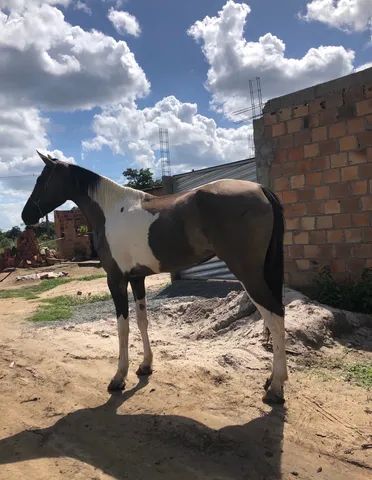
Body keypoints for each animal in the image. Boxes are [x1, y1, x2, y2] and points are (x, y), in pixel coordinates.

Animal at [22, 152, 288, 404]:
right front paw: (145, 366)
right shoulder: (137, 278)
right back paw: (272, 380)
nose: (26, 216)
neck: (110, 211)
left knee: (275, 317)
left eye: (41, 180)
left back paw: (276, 389)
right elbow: (142, 321)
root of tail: (260, 189)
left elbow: (123, 327)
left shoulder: (116, 280)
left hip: (248, 273)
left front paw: (119, 377)